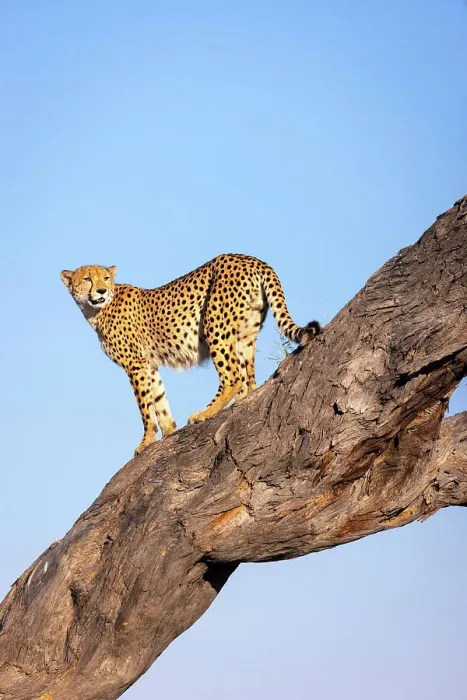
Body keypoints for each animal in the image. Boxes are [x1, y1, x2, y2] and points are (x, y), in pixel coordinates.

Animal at [60, 254, 321, 455]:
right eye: (87, 278)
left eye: (105, 278)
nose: (102, 290)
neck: (95, 311)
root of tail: (253, 259)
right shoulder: (149, 364)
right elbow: (159, 399)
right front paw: (168, 432)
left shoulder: (136, 364)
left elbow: (145, 407)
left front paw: (146, 442)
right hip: (246, 333)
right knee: (248, 380)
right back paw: (240, 401)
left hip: (215, 325)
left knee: (232, 377)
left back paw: (204, 413)